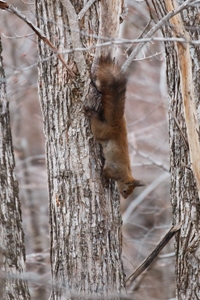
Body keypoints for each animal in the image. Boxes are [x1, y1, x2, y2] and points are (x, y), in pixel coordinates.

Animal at [85, 54, 144, 198]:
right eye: (125, 191)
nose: (124, 197)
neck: (125, 175)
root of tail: (117, 125)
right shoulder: (112, 170)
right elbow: (104, 173)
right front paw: (106, 182)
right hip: (101, 132)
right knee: (96, 122)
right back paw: (91, 113)